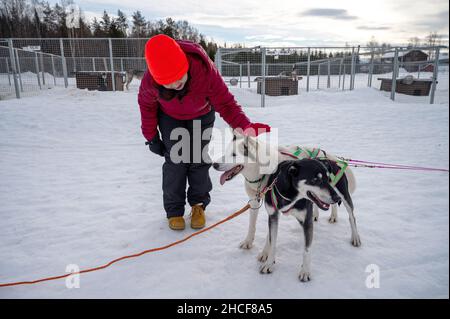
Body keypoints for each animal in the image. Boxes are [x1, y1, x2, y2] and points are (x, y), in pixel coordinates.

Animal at [213, 132, 360, 282]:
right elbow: (253, 226)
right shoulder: (256, 202)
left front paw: (265, 253)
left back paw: (354, 236)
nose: (214, 164)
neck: (262, 172)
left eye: (234, 154)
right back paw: (323, 215)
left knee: (351, 216)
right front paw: (249, 242)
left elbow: (270, 237)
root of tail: (332, 158)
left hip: (342, 196)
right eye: (225, 152)